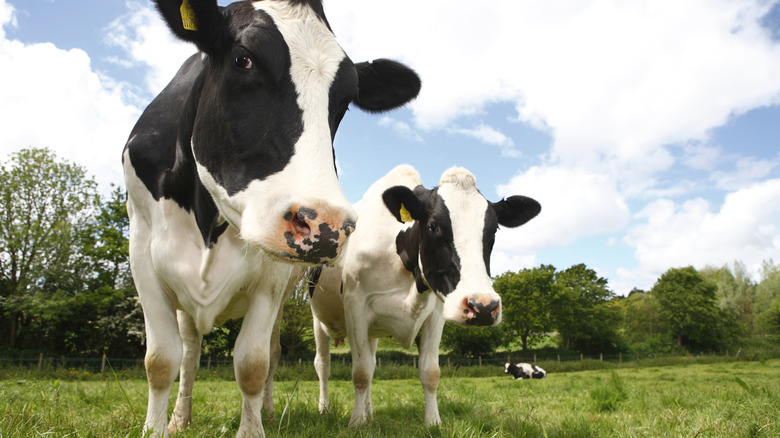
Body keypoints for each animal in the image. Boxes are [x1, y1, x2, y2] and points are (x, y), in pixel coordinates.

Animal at [123, 1, 420, 436]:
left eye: (347, 97)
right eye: (243, 59)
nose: (326, 226)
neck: (208, 219)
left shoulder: (273, 275)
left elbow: (253, 362)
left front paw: (253, 425)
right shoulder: (142, 251)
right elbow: (161, 360)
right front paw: (159, 426)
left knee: (272, 353)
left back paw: (265, 407)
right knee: (191, 352)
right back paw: (181, 417)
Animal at [308, 165, 540, 428]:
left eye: (493, 230)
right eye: (433, 226)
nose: (483, 307)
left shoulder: (436, 313)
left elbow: (430, 372)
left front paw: (433, 422)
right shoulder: (355, 305)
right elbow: (360, 373)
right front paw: (356, 424)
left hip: (372, 332)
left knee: (371, 362)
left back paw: (370, 413)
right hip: (318, 321)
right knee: (323, 365)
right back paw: (325, 409)